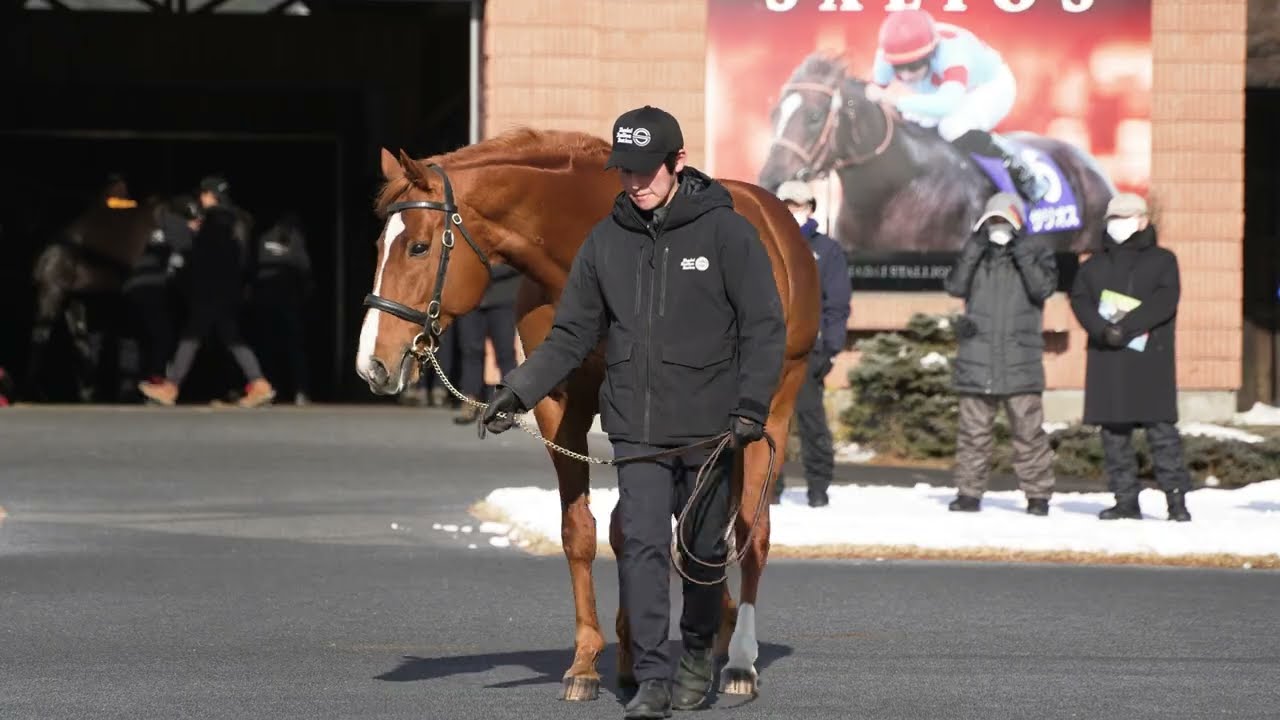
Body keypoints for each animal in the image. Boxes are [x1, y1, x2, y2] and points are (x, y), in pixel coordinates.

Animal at [358, 128, 819, 702]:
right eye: (380, 246)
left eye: (419, 246)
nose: (373, 363)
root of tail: (781, 226)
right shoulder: (560, 407)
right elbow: (582, 531)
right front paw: (587, 663)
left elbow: (628, 530)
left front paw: (629, 654)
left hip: (769, 416)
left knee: (752, 533)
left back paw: (740, 662)